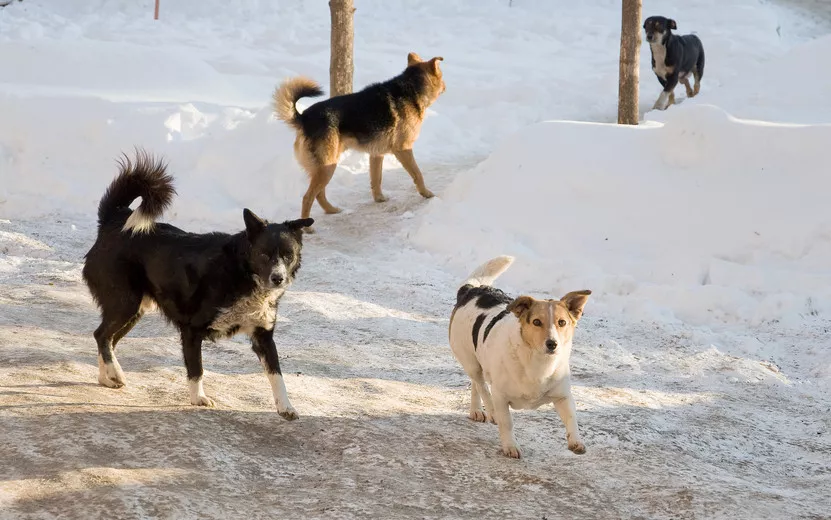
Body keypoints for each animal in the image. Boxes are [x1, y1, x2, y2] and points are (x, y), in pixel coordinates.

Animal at [83, 150, 314, 418]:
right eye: (264, 255)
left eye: (288, 255)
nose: (278, 278)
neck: (242, 272)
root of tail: (114, 221)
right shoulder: (191, 330)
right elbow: (197, 370)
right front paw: (198, 398)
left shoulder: (263, 336)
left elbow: (277, 375)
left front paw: (286, 407)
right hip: (125, 303)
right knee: (101, 335)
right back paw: (114, 372)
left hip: (133, 310)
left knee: (107, 338)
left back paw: (106, 377)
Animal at [274, 51, 446, 231]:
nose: (446, 86)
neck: (411, 88)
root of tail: (304, 118)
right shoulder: (403, 149)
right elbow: (418, 174)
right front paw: (426, 193)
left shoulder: (376, 155)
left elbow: (376, 179)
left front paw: (379, 198)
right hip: (327, 167)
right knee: (308, 197)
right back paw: (308, 227)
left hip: (323, 168)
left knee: (319, 194)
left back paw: (332, 210)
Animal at [448, 256, 592, 460]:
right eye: (536, 322)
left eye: (562, 322)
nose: (552, 343)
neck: (538, 365)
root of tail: (472, 290)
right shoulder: (501, 396)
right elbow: (506, 422)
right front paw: (510, 446)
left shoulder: (563, 395)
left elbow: (572, 417)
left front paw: (576, 442)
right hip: (470, 361)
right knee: (481, 385)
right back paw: (489, 411)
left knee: (476, 385)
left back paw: (476, 410)